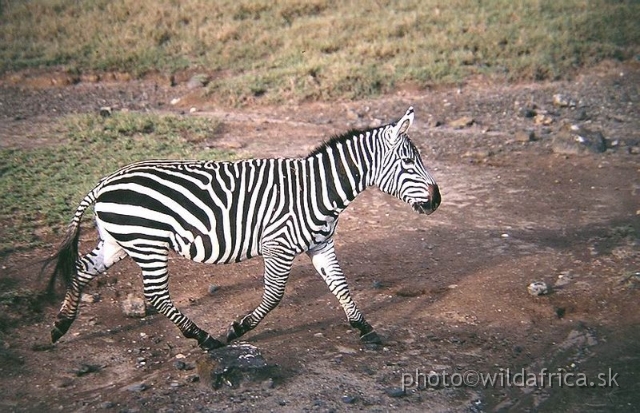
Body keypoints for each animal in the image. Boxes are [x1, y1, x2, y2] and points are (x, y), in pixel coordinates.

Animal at [46, 105, 440, 348]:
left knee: (81, 269)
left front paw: (365, 329)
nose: (437, 200)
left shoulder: (321, 244)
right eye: (409, 162)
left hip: (119, 241)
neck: (316, 191)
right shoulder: (278, 246)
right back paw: (205, 339)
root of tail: (105, 181)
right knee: (156, 296)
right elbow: (274, 296)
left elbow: (341, 287)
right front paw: (237, 329)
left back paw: (60, 326)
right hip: (147, 243)